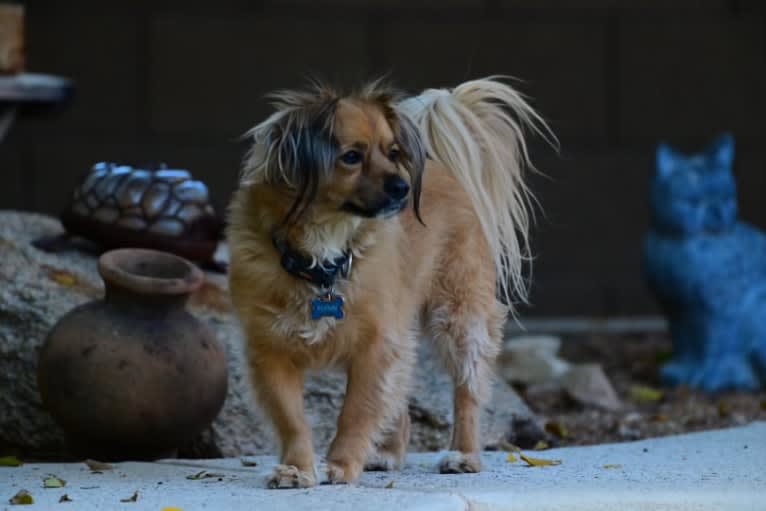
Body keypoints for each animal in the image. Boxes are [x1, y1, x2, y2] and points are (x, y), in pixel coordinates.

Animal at [226, 76, 552, 488]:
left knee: (466, 392)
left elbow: (356, 411)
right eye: (351, 156)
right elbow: (293, 419)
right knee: (400, 393)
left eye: (393, 152)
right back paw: (386, 454)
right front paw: (298, 468)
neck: (324, 255)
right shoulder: (270, 351)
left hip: (458, 318)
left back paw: (463, 454)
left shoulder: (376, 345)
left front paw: (341, 466)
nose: (402, 187)